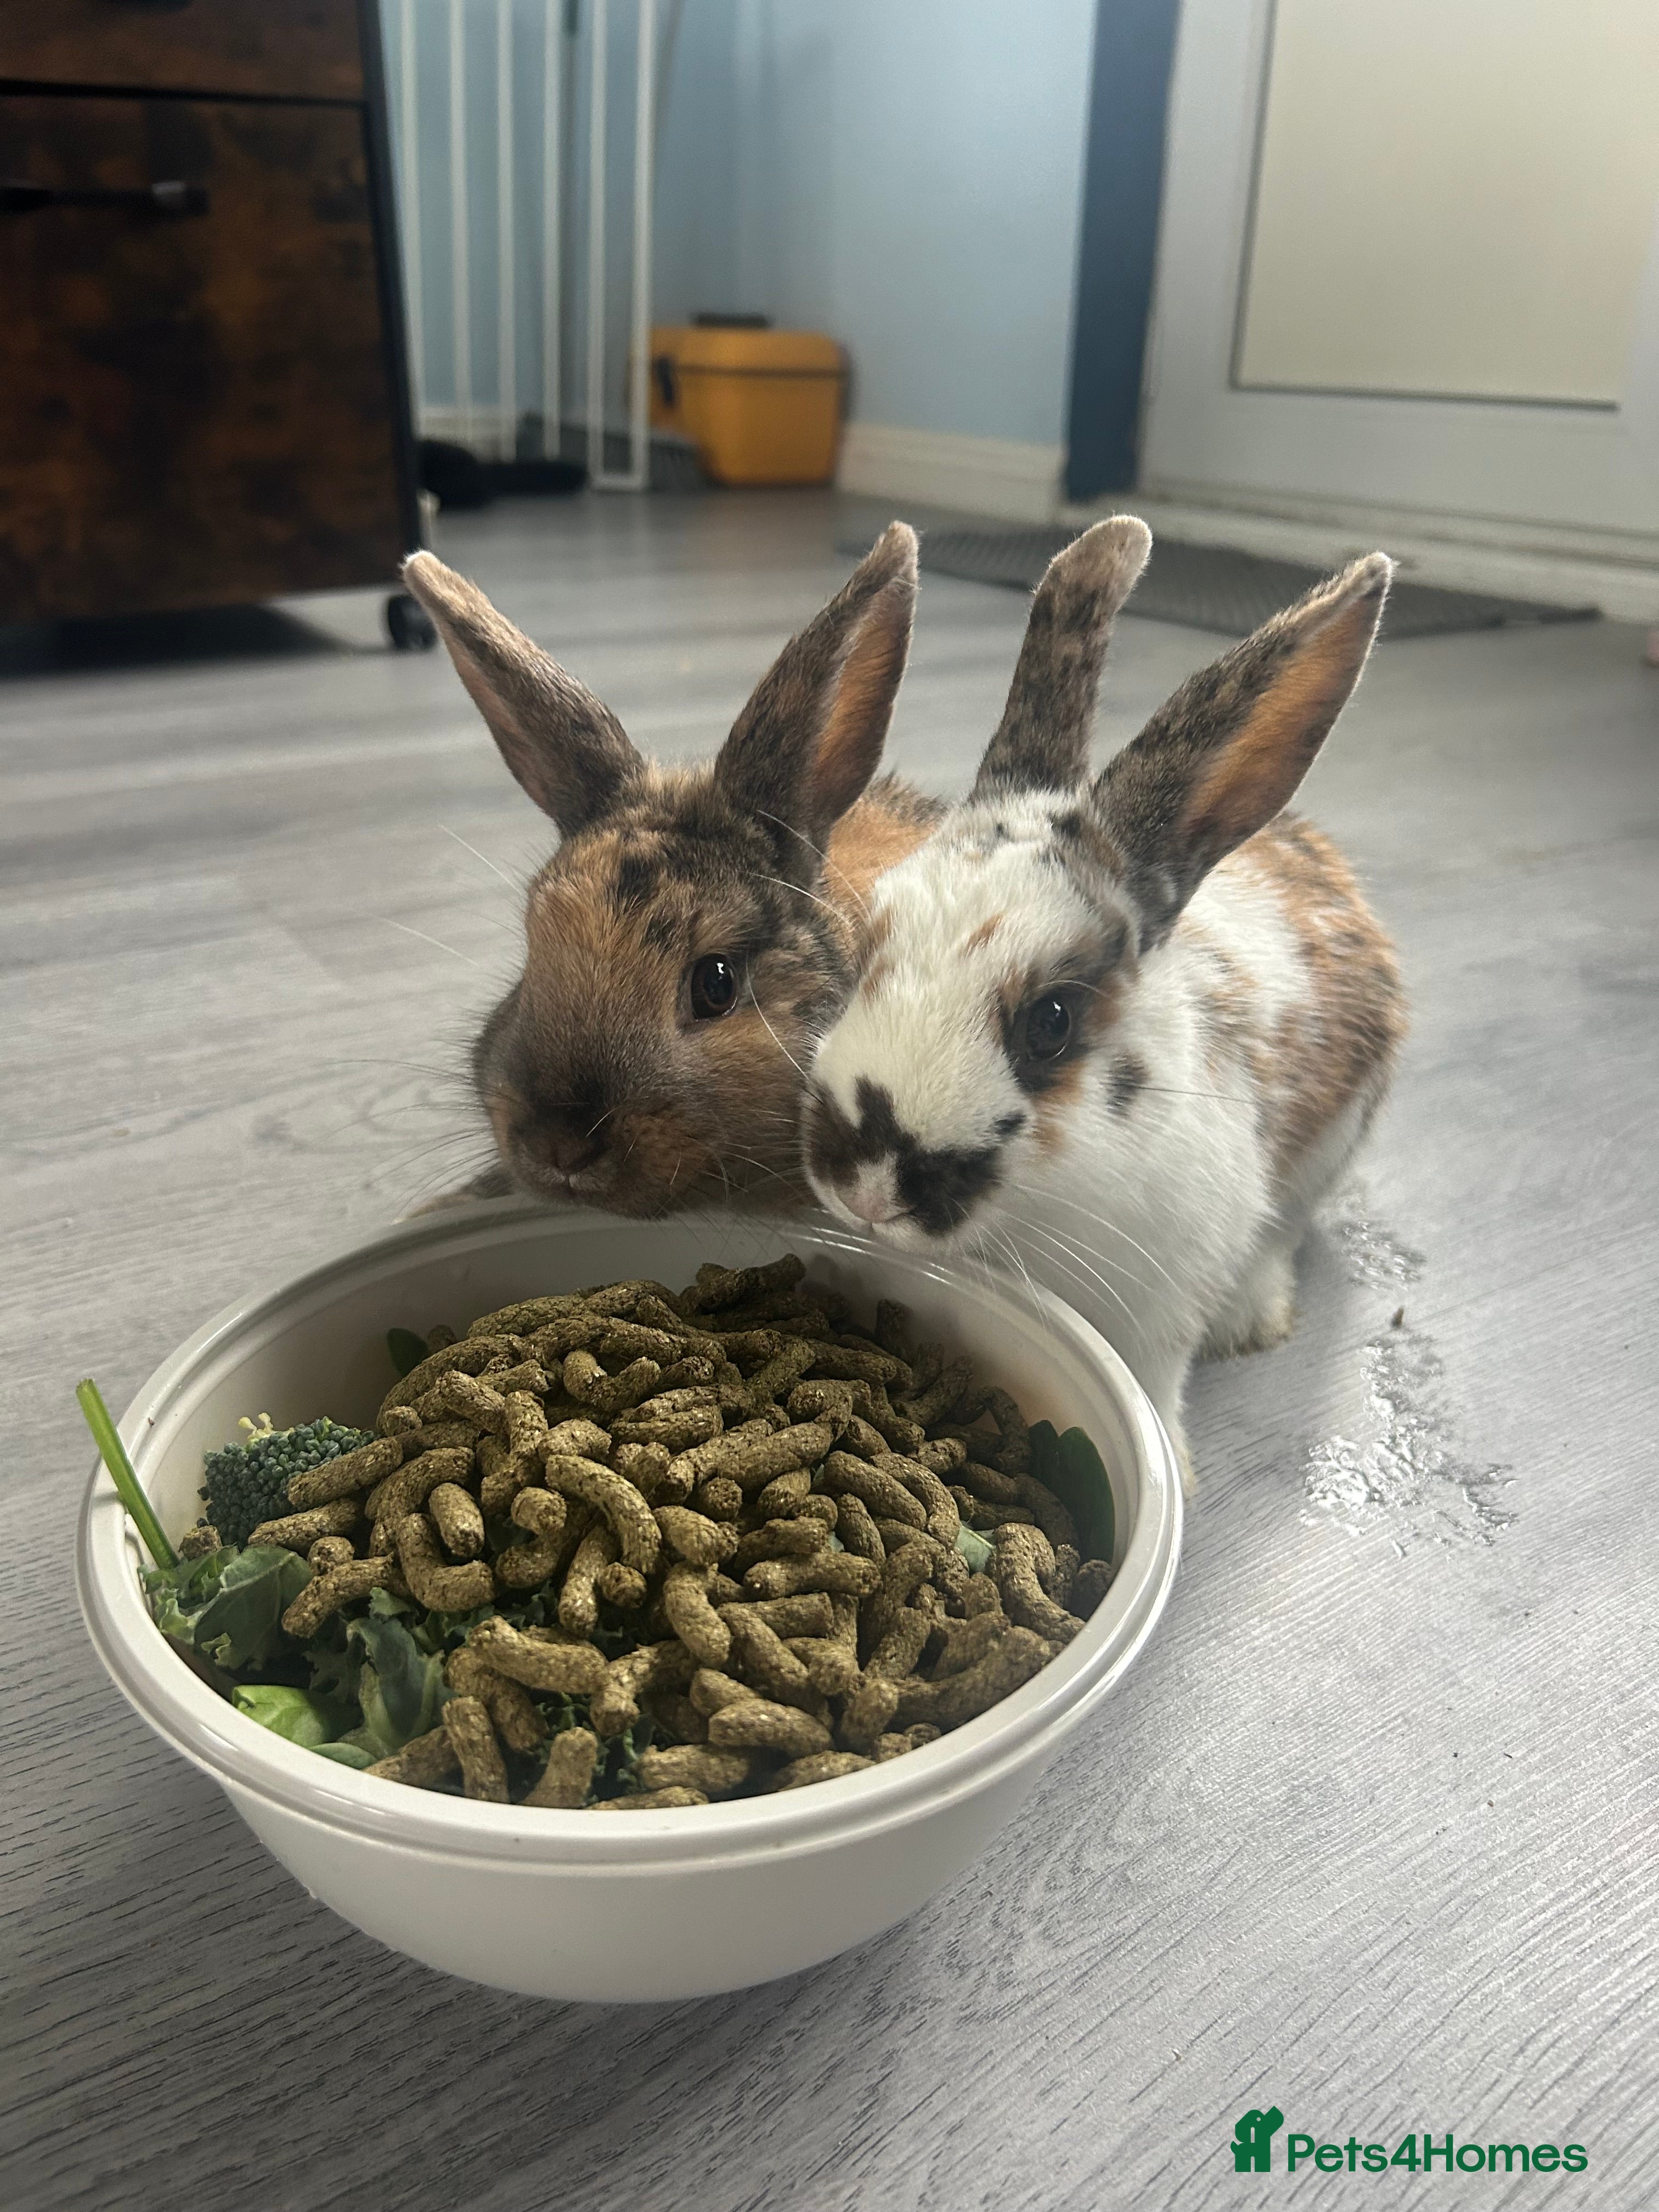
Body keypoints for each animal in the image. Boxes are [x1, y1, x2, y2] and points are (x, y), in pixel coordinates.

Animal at [801, 517, 1406, 1487]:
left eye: (1051, 1023)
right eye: (865, 951)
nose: (866, 1189)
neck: (1033, 1214)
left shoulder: (1164, 1303)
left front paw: (1178, 1472)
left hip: (1331, 1148)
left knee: (1286, 1234)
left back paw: (1254, 1320)